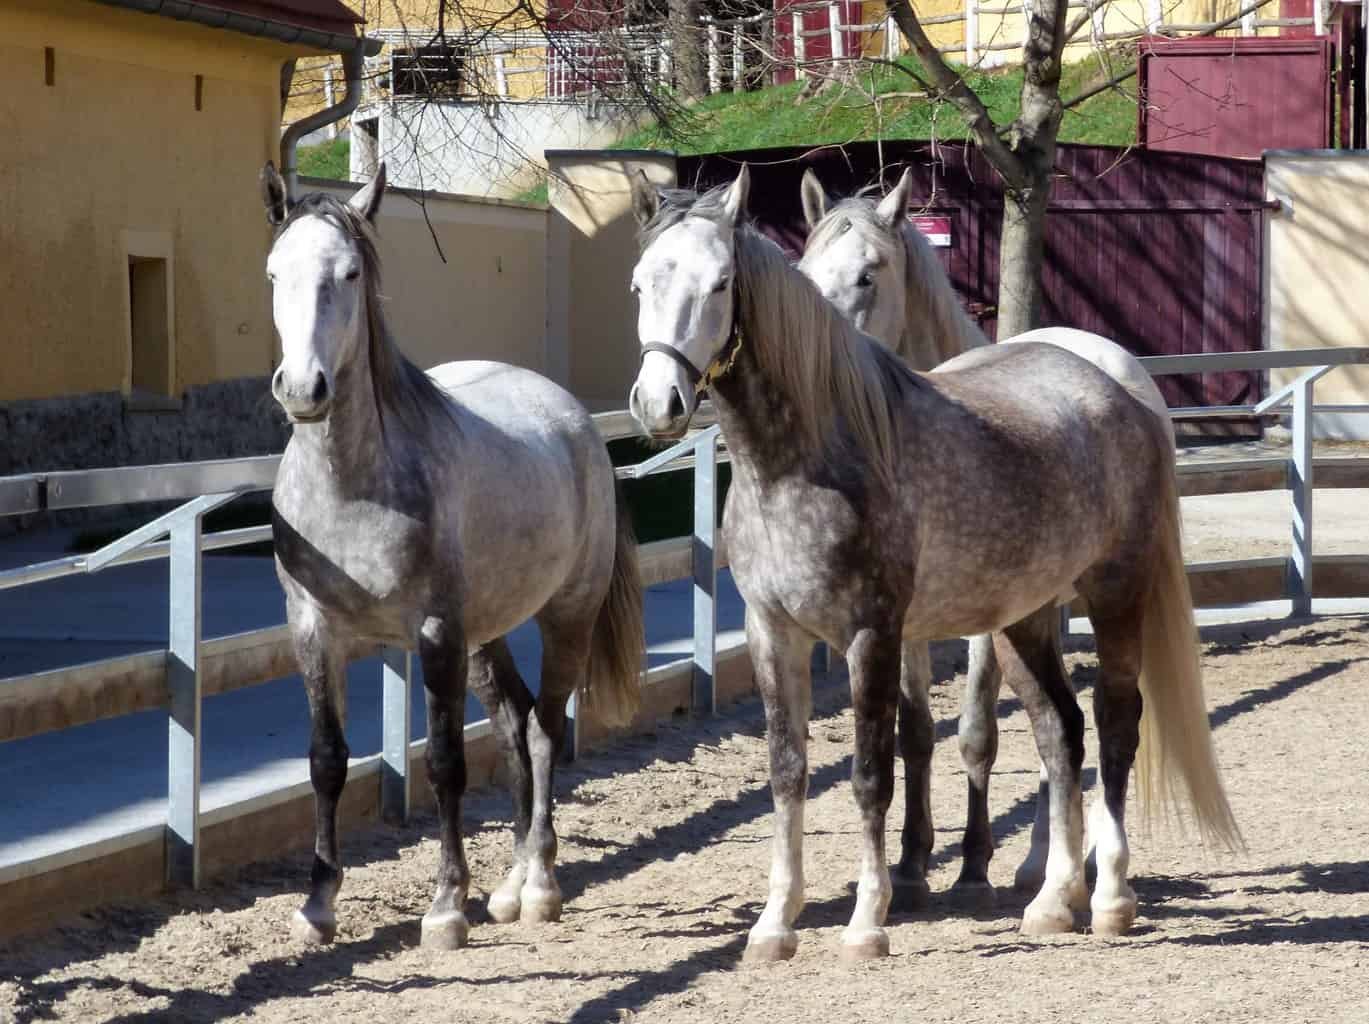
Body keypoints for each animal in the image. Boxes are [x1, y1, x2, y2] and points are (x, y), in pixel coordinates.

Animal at [799, 166, 1177, 903]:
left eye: (867, 275)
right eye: (804, 271)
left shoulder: (985, 623)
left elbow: (976, 732)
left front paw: (973, 862)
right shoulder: (902, 620)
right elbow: (914, 731)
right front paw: (912, 862)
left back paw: (1046, 863)